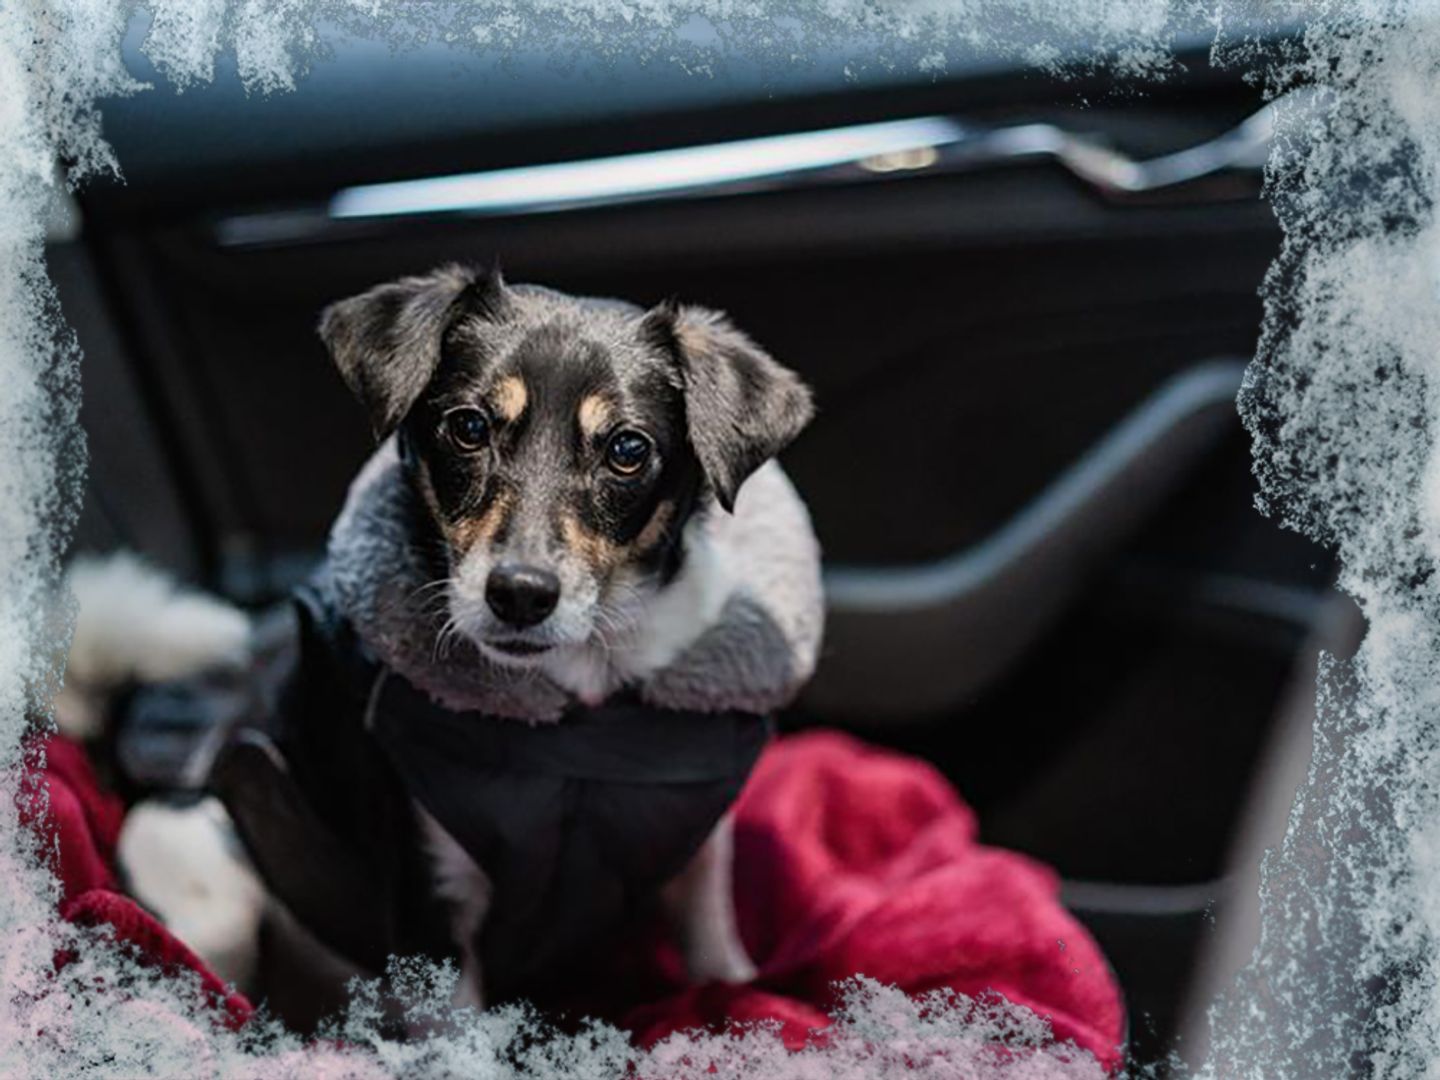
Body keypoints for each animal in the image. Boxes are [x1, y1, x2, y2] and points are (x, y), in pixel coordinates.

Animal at [87, 266, 823, 1019]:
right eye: (468, 427)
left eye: (627, 449)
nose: (521, 593)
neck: (584, 720)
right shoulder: (429, 897)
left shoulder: (695, 842)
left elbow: (716, 948)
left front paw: (740, 988)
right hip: (209, 873)